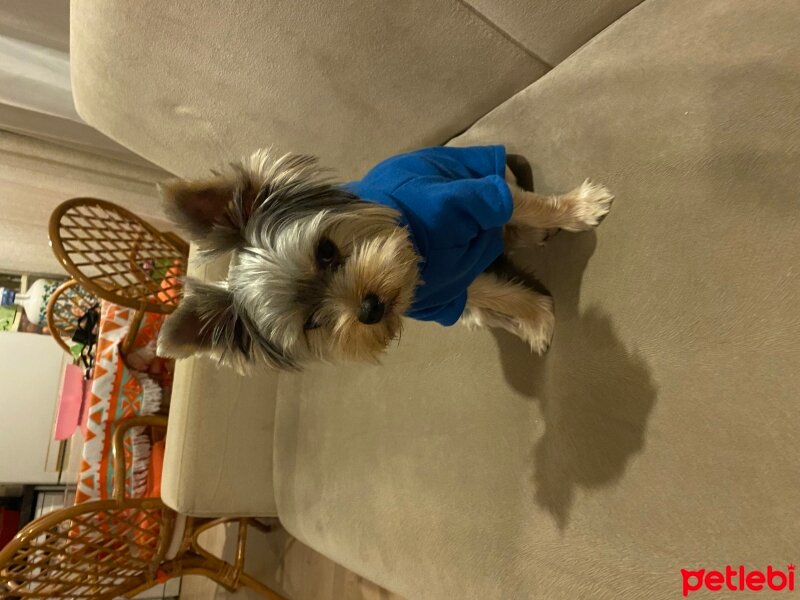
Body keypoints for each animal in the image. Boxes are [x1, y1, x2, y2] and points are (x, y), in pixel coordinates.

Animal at [158, 146, 612, 370]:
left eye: (325, 251)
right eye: (312, 323)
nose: (370, 309)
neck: (417, 251)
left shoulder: (478, 193)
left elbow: (526, 204)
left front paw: (579, 208)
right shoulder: (443, 298)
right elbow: (492, 293)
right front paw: (535, 319)